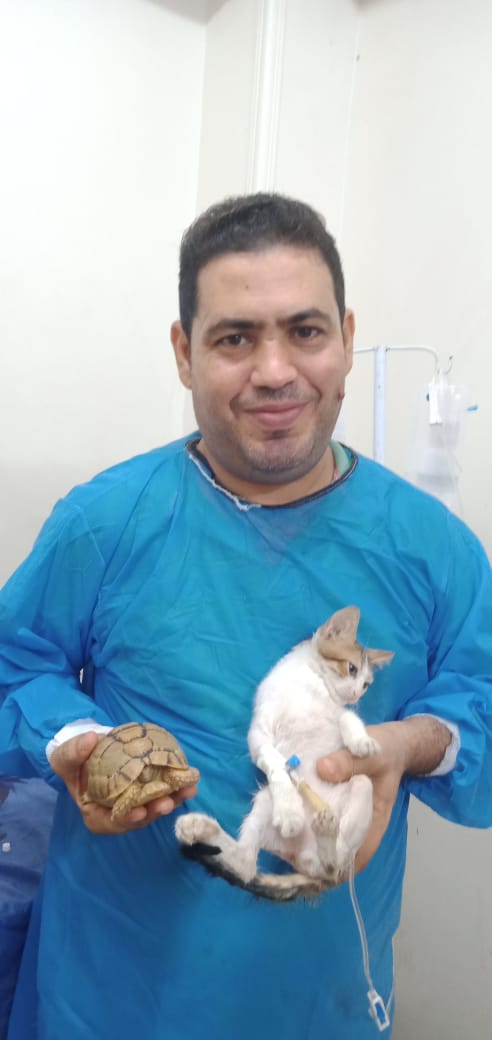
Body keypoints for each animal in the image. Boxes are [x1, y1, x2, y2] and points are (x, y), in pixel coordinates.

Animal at [175, 606, 394, 901]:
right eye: (352, 669)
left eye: (367, 684)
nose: (356, 694)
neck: (309, 684)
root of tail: (303, 855)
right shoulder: (259, 734)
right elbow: (275, 761)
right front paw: (290, 810)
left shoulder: (336, 712)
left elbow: (348, 717)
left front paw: (361, 740)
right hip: (265, 801)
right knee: (245, 865)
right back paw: (201, 827)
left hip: (360, 789)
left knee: (333, 864)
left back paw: (327, 835)